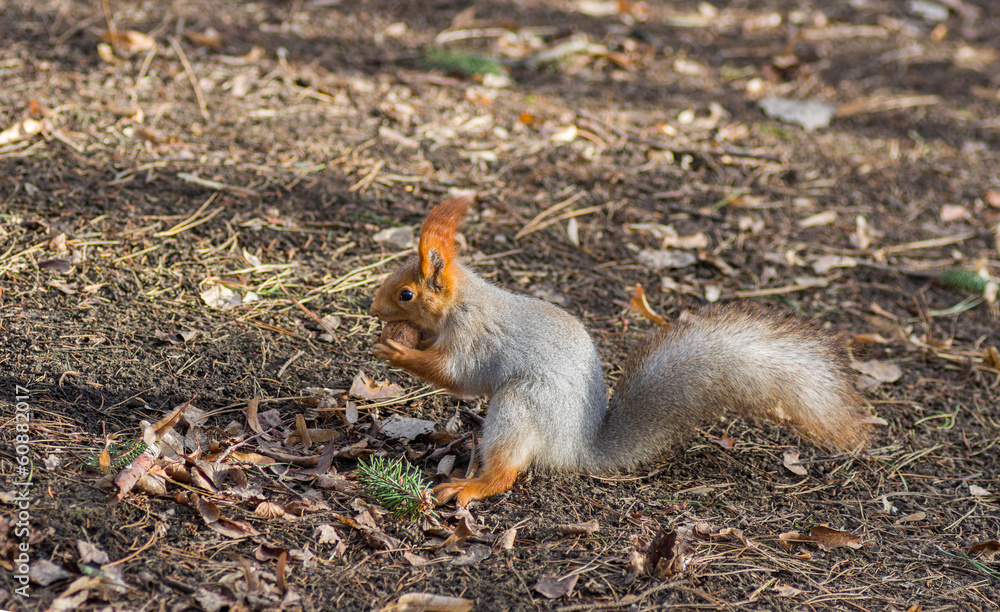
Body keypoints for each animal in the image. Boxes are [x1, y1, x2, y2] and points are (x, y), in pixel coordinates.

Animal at [370, 195, 871, 506]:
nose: (373, 308)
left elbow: (456, 374)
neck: (462, 301)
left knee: (507, 471)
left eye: (406, 294)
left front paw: (397, 352)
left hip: (522, 405)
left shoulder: (472, 337)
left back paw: (469, 487)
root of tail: (577, 448)